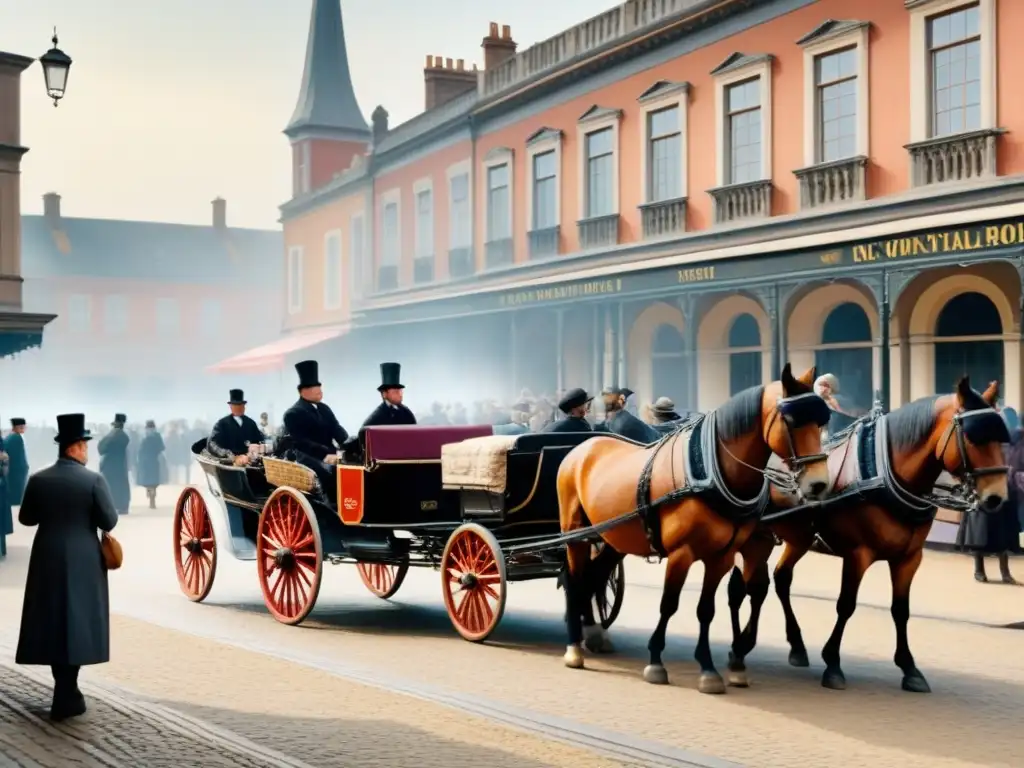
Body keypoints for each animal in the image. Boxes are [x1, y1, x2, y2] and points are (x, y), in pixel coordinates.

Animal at [552, 364, 831, 696]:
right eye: (790, 421)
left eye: (823, 420)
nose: (819, 484)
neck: (708, 472)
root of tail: (583, 446)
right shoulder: (681, 553)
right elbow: (669, 604)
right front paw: (656, 661)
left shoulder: (722, 556)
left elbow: (707, 609)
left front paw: (711, 668)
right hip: (575, 534)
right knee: (575, 580)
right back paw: (573, 646)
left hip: (611, 538)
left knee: (593, 578)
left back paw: (593, 632)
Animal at [729, 376, 1007, 696]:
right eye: (973, 438)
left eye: (1001, 438)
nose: (997, 498)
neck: (885, 472)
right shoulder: (857, 554)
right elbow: (846, 605)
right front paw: (833, 663)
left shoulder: (909, 558)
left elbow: (901, 610)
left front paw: (909, 668)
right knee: (748, 586)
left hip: (798, 537)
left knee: (779, 579)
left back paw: (795, 645)